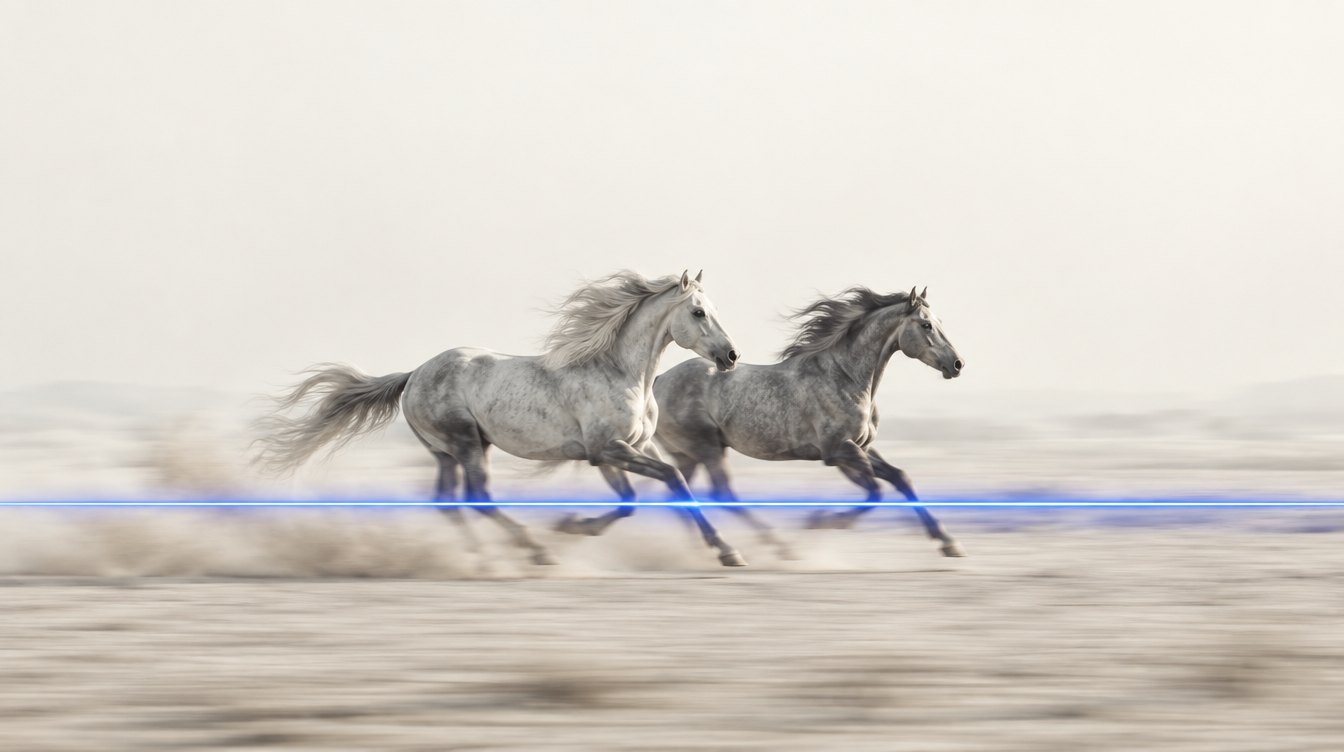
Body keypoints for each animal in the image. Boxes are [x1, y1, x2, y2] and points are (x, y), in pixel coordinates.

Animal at [255, 270, 748, 567]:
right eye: (698, 312)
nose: (730, 357)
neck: (621, 373)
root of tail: (414, 374)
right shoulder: (608, 450)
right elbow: (659, 487)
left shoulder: (628, 449)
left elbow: (653, 495)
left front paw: (726, 551)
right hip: (466, 443)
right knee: (478, 498)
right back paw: (532, 552)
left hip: (449, 452)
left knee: (447, 502)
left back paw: (483, 559)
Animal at [557, 285, 965, 559]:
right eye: (926, 325)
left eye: (939, 322)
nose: (957, 364)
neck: (846, 377)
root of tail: (656, 381)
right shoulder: (839, 452)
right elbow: (875, 493)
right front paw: (820, 521)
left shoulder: (863, 447)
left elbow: (901, 479)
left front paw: (948, 543)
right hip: (706, 447)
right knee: (719, 494)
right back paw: (764, 548)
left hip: (689, 454)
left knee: (676, 493)